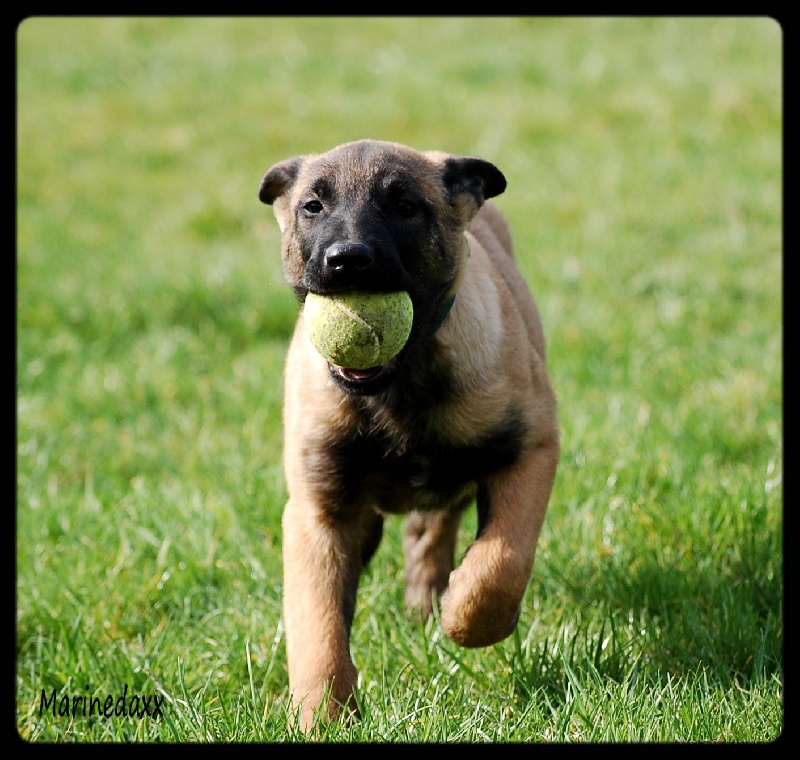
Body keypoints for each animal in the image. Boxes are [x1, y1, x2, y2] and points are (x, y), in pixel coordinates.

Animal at [260, 138, 560, 732]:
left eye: (404, 206)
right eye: (313, 207)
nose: (346, 260)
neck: (397, 389)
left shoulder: (531, 447)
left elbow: (501, 560)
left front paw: (466, 618)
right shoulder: (317, 512)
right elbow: (317, 626)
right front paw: (323, 716)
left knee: (436, 529)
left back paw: (431, 601)